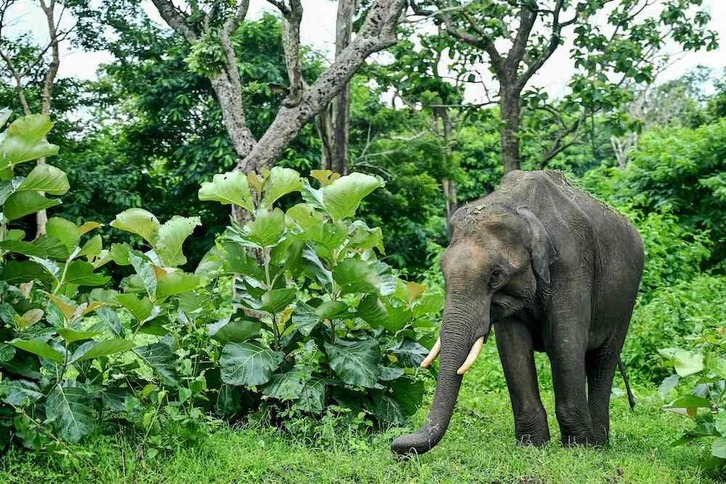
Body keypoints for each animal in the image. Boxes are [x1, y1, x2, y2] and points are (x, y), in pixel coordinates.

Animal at [392, 171, 644, 458]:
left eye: (495, 276)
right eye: (443, 272)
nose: (397, 445)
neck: (517, 206)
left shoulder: (572, 265)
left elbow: (564, 343)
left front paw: (578, 448)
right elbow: (513, 347)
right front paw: (532, 446)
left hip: (626, 301)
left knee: (603, 360)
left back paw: (599, 445)